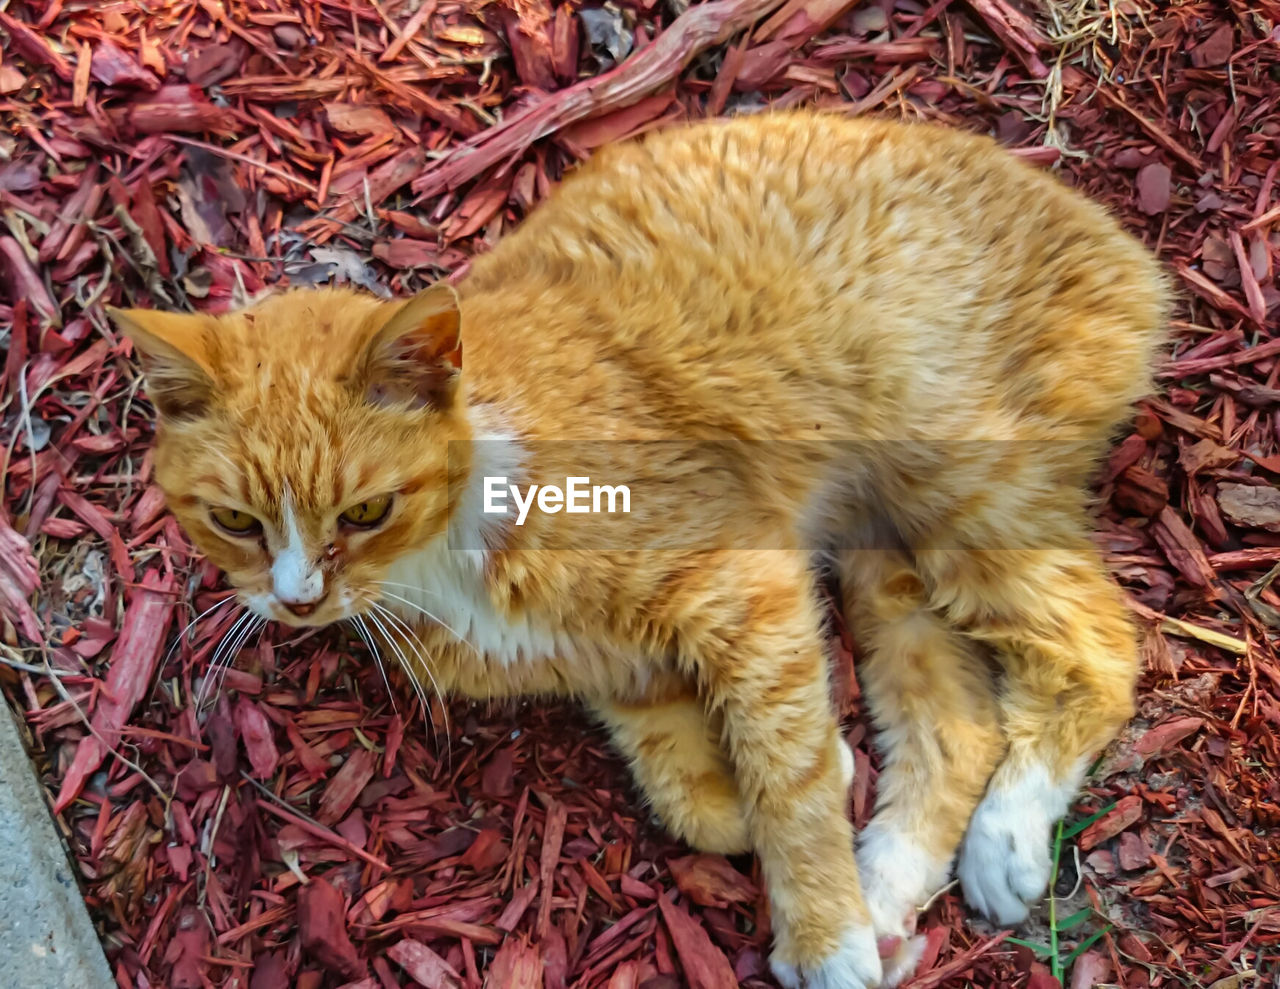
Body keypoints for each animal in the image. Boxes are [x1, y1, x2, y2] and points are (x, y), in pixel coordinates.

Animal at [112, 111, 1172, 987]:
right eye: (236, 520)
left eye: (366, 510)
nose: (296, 598)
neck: (445, 556)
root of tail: (1119, 240)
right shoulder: (613, 666)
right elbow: (694, 786)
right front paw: (815, 793)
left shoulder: (745, 586)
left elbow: (784, 774)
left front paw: (822, 935)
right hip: (885, 557)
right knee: (959, 723)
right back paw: (885, 889)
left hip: (959, 485)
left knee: (1103, 645)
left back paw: (998, 843)